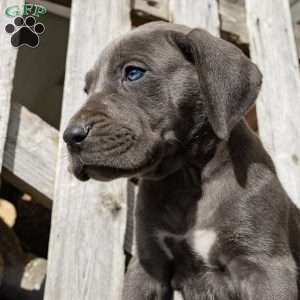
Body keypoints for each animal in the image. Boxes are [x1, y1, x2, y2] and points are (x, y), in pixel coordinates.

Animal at [63, 22, 300, 298]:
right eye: (87, 90)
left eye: (133, 73)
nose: (70, 136)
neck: (188, 179)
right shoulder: (147, 265)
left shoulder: (266, 266)